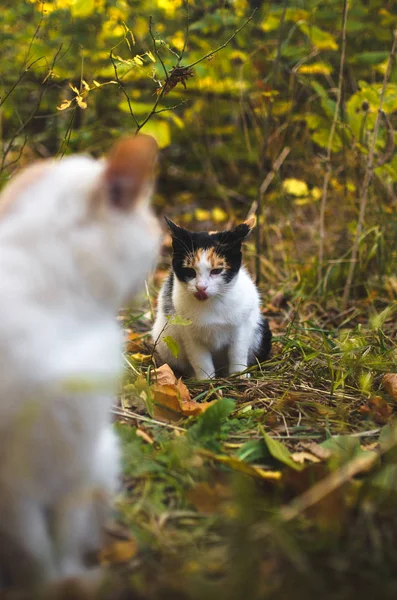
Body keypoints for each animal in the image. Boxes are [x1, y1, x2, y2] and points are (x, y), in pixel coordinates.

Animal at [152, 217, 272, 380]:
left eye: (217, 271)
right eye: (190, 271)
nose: (201, 287)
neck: (212, 304)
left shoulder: (242, 326)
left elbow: (238, 351)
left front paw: (239, 375)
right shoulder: (189, 335)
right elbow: (200, 360)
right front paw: (206, 381)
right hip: (164, 340)